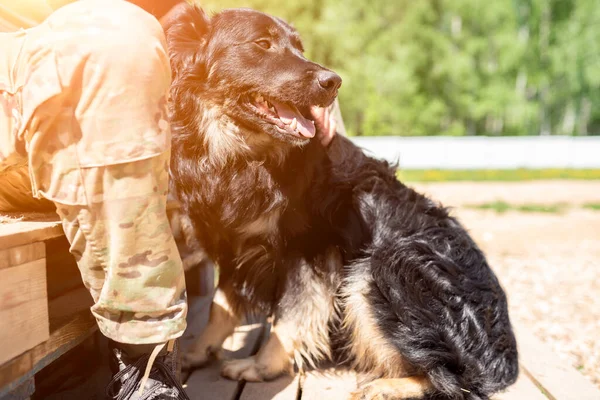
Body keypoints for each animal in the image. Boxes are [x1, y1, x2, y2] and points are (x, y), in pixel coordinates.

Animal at [162, 4, 516, 398]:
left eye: (299, 48)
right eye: (262, 44)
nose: (333, 82)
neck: (243, 155)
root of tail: (504, 362)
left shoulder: (307, 253)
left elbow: (290, 318)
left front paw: (260, 367)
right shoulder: (233, 244)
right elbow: (220, 306)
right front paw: (196, 351)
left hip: (382, 265)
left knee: (453, 379)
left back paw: (388, 385)